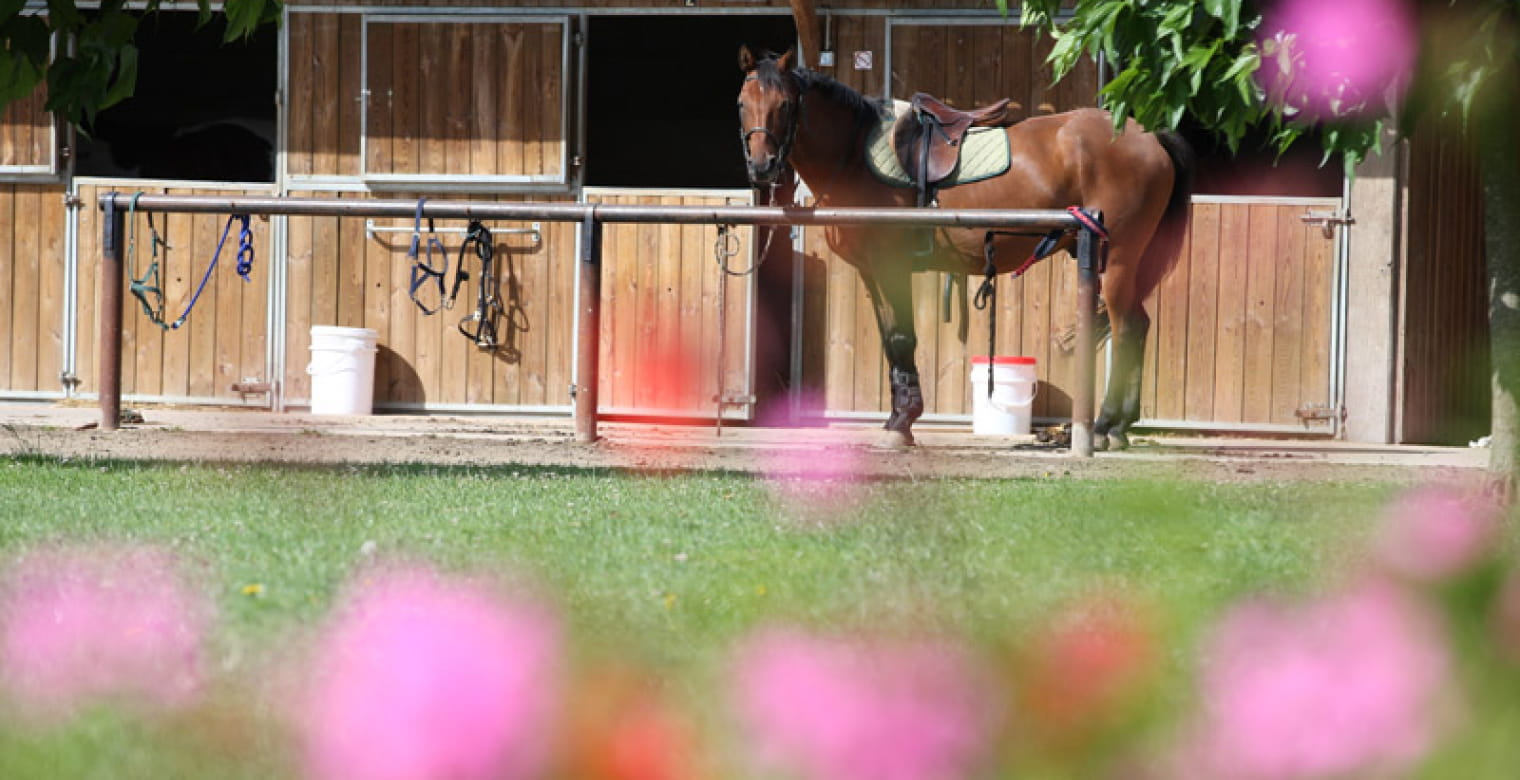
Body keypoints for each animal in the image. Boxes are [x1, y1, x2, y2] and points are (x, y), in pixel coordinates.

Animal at [738, 47, 1197, 450]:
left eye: (785, 104)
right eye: (742, 103)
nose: (761, 167)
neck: (854, 156)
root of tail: (1149, 137)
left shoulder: (891, 265)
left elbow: (903, 337)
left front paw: (903, 423)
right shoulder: (872, 271)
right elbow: (891, 341)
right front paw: (898, 420)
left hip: (1116, 260)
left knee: (1127, 329)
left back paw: (1104, 427)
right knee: (1137, 325)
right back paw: (1118, 425)